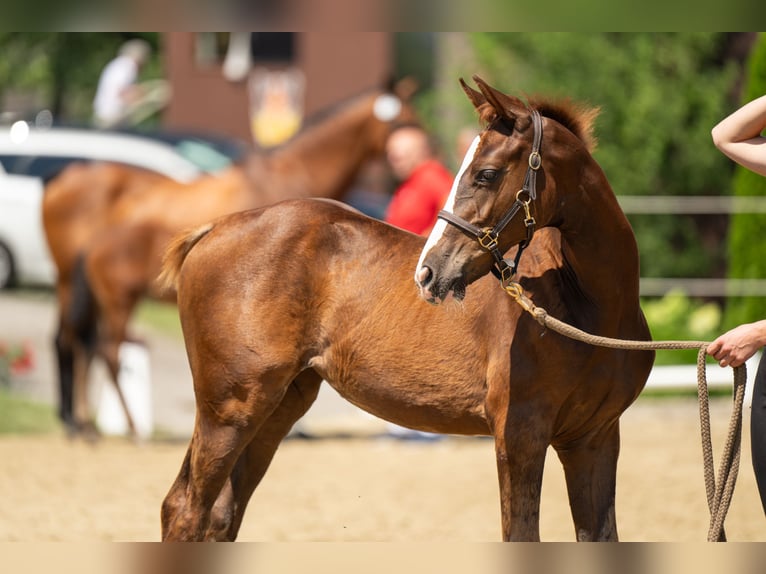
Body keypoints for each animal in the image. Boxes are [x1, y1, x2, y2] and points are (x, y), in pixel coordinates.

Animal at [43, 80, 420, 436]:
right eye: (402, 121)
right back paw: (117, 427)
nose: (408, 163)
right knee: (96, 349)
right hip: (103, 295)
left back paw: (79, 424)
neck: (288, 174)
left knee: (75, 342)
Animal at [158, 79, 656, 544]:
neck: (584, 307)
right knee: (184, 508)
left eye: (486, 174)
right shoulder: (520, 435)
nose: (429, 271)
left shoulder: (594, 439)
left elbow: (601, 535)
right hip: (229, 409)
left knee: (221, 514)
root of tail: (213, 228)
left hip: (277, 407)